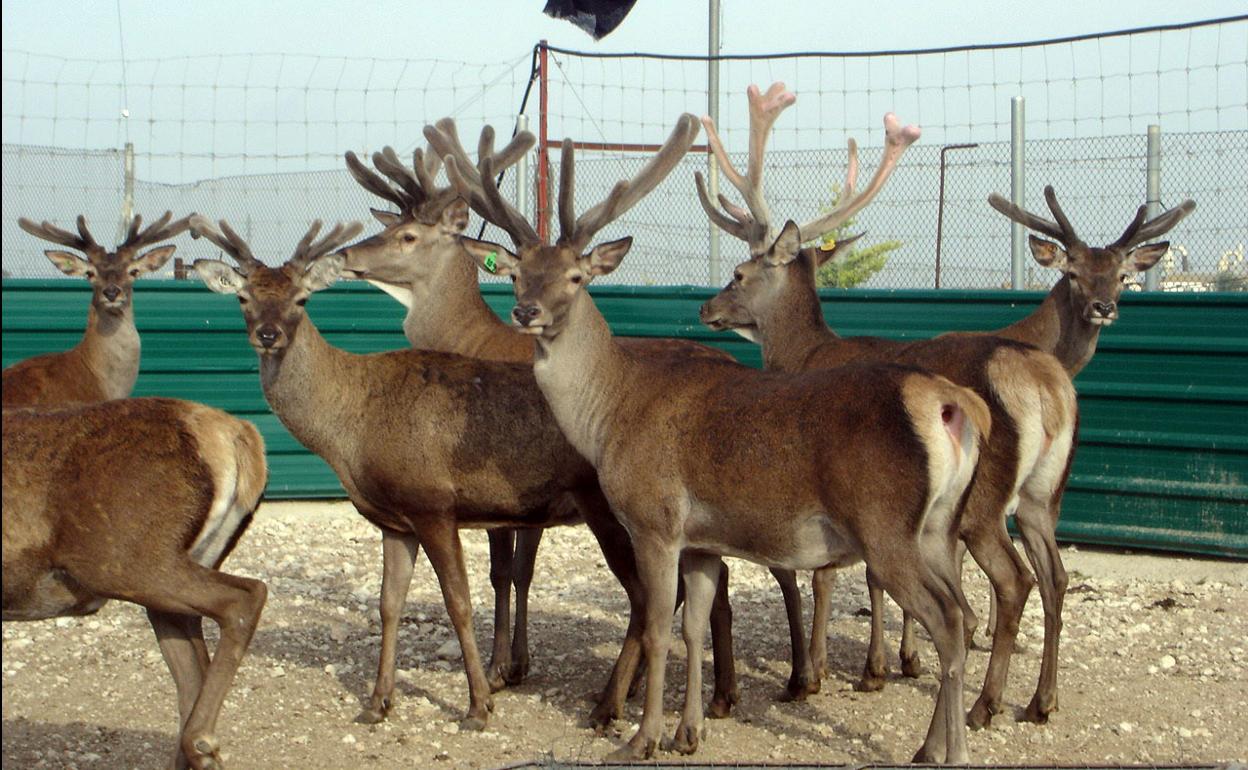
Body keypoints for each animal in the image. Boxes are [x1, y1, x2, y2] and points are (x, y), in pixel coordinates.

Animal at [3, 397, 268, 770]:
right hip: (177, 575)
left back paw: (202, 743)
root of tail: (239, 436)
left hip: (125, 561)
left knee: (247, 595)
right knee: (192, 678)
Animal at [188, 216, 709, 732]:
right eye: (243, 297)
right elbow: (389, 603)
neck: (351, 429)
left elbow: (459, 602)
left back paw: (608, 705)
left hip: (614, 507)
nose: (269, 334)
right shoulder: (393, 520)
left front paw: (479, 705)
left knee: (646, 599)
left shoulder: (433, 503)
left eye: (301, 299)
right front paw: (378, 702)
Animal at [444, 111, 993, 763]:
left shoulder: (655, 519)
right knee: (962, 614)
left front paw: (641, 738)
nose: (526, 312)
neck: (612, 414)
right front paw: (691, 731)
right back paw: (933, 746)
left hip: (886, 524)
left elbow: (659, 626)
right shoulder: (704, 540)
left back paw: (949, 751)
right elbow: (694, 624)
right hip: (938, 527)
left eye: (576, 277)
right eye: (519, 273)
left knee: (948, 620)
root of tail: (951, 405)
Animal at [695, 83, 1080, 730]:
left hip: (985, 502)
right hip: (1041, 494)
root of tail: (1047, 385)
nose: (705, 308)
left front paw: (820, 673)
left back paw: (985, 705)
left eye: (739, 272)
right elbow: (874, 577)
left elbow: (825, 576)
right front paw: (894, 662)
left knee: (1014, 581)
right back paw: (1041, 699)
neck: (802, 353)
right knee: (1055, 576)